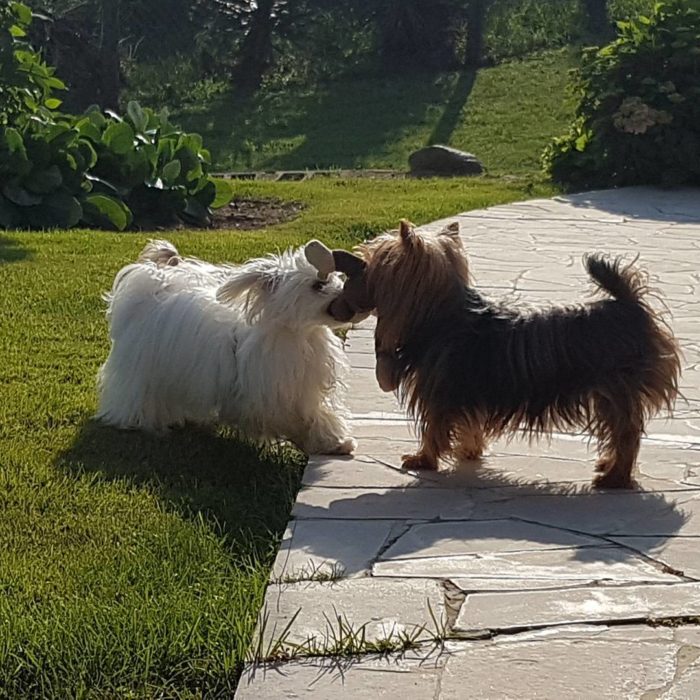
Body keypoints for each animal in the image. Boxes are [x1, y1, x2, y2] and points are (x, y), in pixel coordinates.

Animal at [95, 238, 358, 456]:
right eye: (318, 285)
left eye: (334, 277)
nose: (345, 294)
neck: (297, 333)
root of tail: (152, 283)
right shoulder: (271, 396)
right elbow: (299, 419)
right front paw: (324, 441)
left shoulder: (303, 391)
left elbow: (317, 415)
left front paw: (335, 443)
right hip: (142, 372)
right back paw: (136, 421)